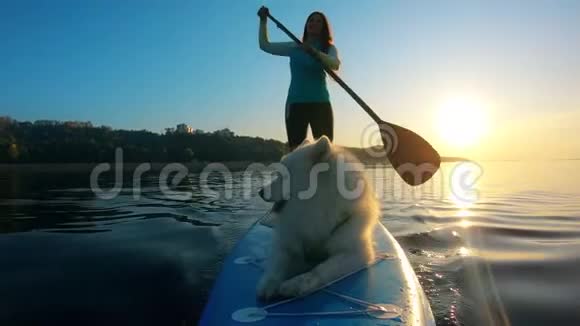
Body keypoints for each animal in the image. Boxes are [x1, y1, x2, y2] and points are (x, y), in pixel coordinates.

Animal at [256, 136, 378, 300]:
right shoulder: (286, 241)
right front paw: (269, 283)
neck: (315, 209)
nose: (260, 192)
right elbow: (278, 263)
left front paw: (296, 284)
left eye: (285, 175)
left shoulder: (357, 252)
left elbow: (322, 269)